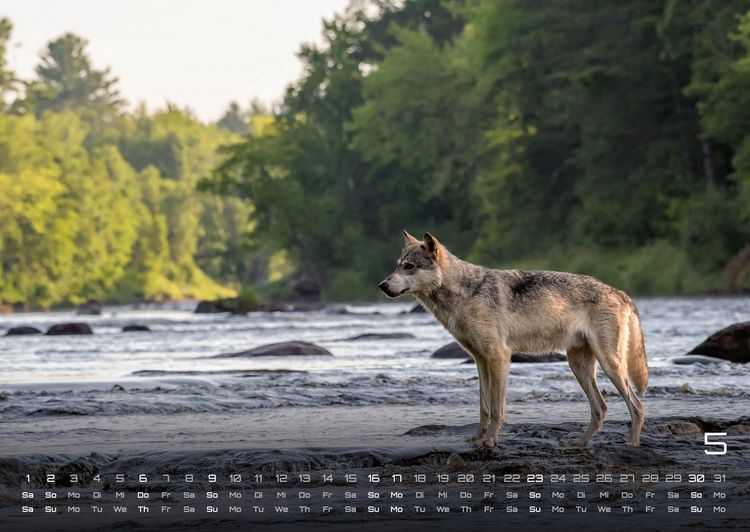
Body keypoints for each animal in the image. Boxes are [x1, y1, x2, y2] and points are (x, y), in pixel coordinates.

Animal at [379, 231, 648, 449]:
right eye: (398, 266)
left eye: (410, 266)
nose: (382, 285)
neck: (465, 292)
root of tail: (621, 292)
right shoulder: (480, 361)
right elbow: (484, 408)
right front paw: (477, 438)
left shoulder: (498, 358)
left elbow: (497, 409)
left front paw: (490, 441)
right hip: (579, 366)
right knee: (601, 409)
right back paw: (580, 443)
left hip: (610, 366)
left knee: (636, 405)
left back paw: (632, 444)